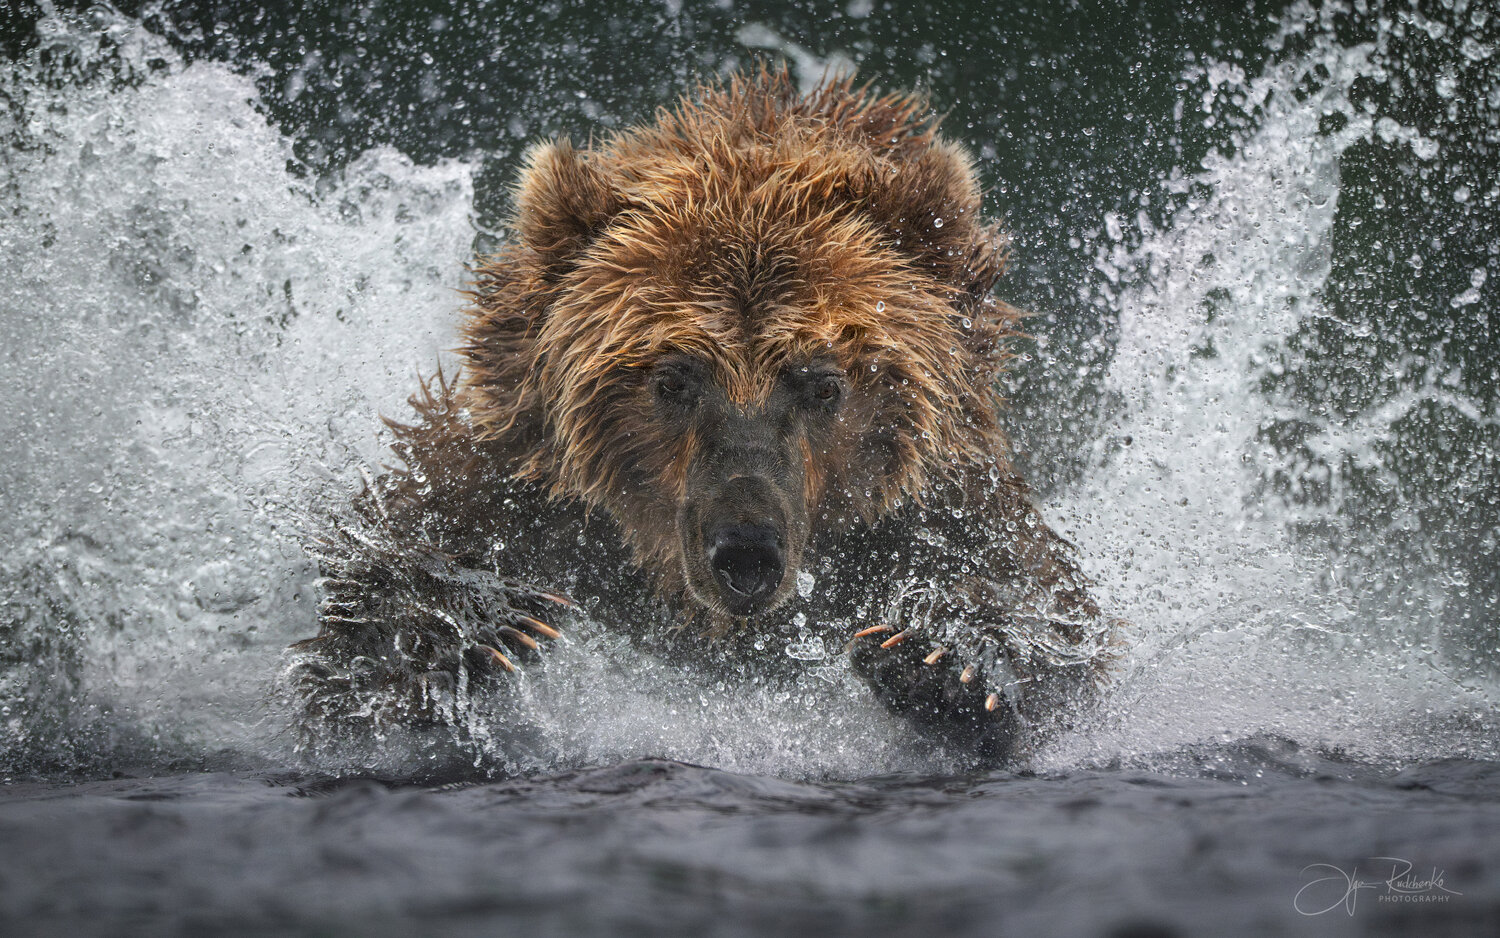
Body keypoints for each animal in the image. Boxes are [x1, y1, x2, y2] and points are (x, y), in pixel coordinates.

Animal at [288, 66, 1116, 762]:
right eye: (674, 378)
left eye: (822, 384)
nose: (745, 551)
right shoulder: (514, 485)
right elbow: (356, 641)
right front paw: (476, 631)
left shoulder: (939, 504)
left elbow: (1050, 623)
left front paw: (946, 661)